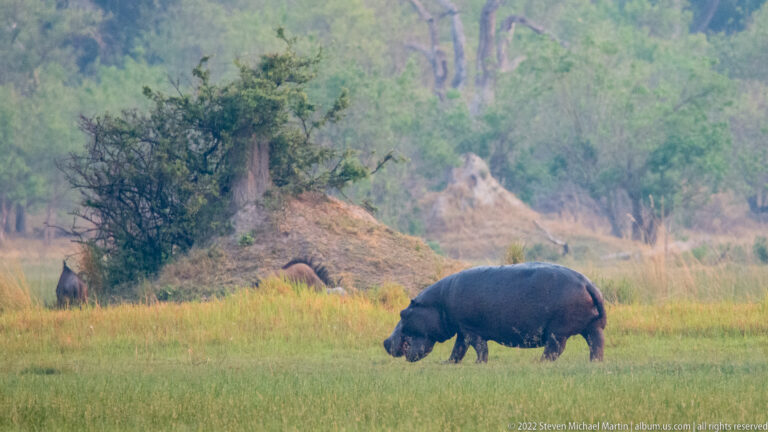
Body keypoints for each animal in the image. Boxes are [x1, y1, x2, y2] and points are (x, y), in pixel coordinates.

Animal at [383, 262, 606, 363]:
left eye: (403, 313)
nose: (385, 342)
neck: (438, 303)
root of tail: (588, 284)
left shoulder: (470, 329)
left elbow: (479, 348)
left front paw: (478, 364)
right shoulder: (462, 330)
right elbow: (458, 349)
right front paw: (448, 363)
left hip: (557, 331)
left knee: (554, 349)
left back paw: (538, 362)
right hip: (592, 328)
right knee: (596, 345)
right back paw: (595, 362)